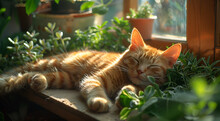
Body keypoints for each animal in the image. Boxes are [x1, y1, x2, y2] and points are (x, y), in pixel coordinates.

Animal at [0, 28, 181, 112]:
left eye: (153, 67)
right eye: (136, 60)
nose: (140, 71)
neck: (124, 78)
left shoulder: (144, 87)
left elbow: (133, 90)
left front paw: (127, 97)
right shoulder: (94, 79)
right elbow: (96, 91)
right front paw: (100, 101)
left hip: (65, 78)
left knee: (30, 76)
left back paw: (38, 81)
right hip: (45, 63)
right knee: (16, 71)